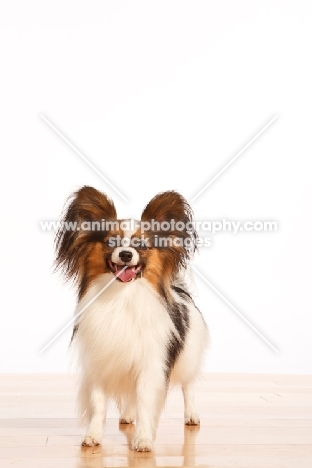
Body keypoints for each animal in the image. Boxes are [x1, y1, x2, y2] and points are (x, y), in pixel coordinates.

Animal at [54, 186, 208, 450]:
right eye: (111, 242)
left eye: (141, 245)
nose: (126, 254)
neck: (122, 297)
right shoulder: (99, 362)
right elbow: (98, 405)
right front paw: (93, 436)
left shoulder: (150, 363)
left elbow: (146, 400)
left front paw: (143, 439)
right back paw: (127, 415)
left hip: (188, 357)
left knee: (188, 387)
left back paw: (191, 416)